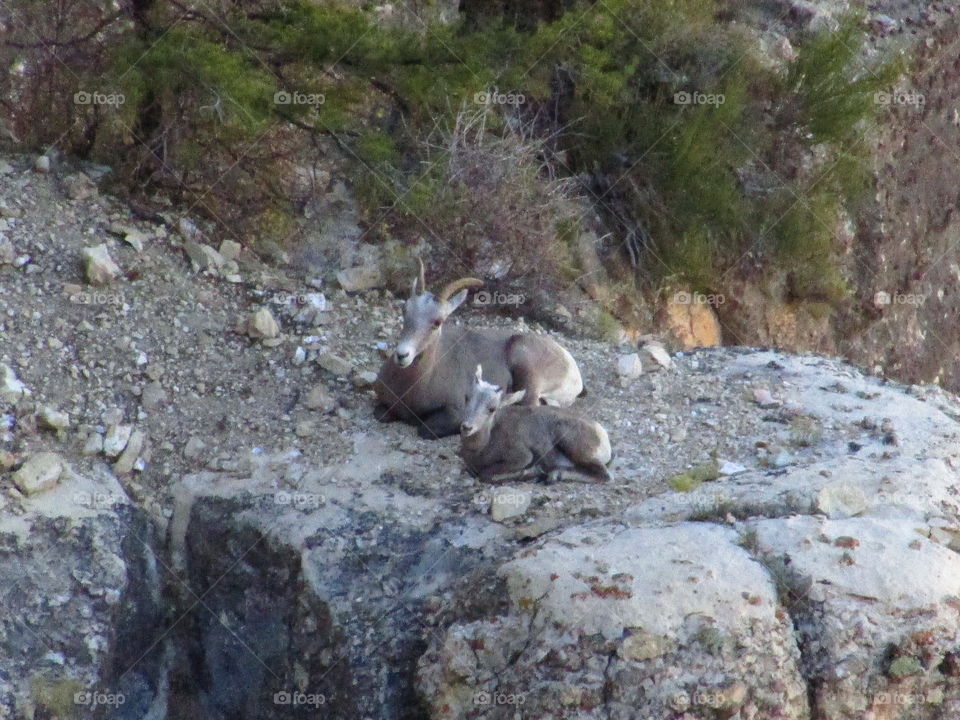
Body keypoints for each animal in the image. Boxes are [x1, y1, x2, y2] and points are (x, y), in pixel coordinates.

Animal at [374, 261, 584, 439]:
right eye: (405, 310)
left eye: (438, 321)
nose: (402, 355)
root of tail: (572, 368)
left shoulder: (456, 413)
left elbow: (425, 430)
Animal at [459, 364, 612, 482]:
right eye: (467, 398)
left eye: (492, 409)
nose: (467, 427)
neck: (481, 447)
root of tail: (603, 436)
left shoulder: (522, 457)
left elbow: (485, 475)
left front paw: (530, 473)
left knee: (605, 475)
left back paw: (553, 476)